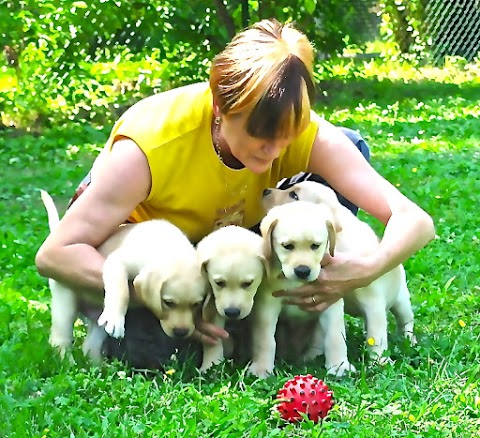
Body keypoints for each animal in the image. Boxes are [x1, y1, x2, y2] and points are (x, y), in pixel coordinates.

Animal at [40, 190, 206, 362]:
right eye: (168, 303)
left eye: (196, 304)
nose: (181, 332)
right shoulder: (118, 262)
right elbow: (122, 290)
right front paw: (116, 319)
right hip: (65, 301)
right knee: (60, 339)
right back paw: (68, 363)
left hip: (98, 322)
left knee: (90, 346)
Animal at [196, 226, 270, 372]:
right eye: (219, 283)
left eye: (248, 283)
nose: (232, 312)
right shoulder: (213, 304)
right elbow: (213, 338)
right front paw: (211, 365)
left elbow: (263, 334)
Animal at [248, 202, 356, 376]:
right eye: (287, 246)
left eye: (315, 246)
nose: (303, 271)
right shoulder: (267, 304)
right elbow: (265, 339)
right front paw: (261, 368)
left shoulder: (331, 302)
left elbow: (336, 335)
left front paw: (339, 365)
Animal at [262, 181, 416, 362]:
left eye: (294, 195)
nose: (265, 191)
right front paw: (312, 356)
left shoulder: (373, 302)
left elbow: (376, 335)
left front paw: (379, 361)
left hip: (401, 300)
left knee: (406, 321)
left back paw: (409, 341)